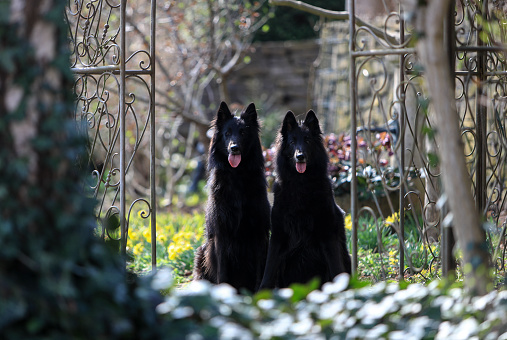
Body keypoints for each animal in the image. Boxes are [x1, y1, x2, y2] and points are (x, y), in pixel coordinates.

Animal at [192, 101, 272, 292]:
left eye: (243, 132)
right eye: (227, 133)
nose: (234, 148)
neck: (237, 175)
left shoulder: (259, 233)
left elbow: (260, 268)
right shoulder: (221, 234)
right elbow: (222, 268)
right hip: (202, 250)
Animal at [260, 110, 352, 288]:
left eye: (308, 140)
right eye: (292, 142)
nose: (300, 156)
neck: (301, 184)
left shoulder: (328, 235)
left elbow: (336, 269)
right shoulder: (278, 235)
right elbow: (268, 271)